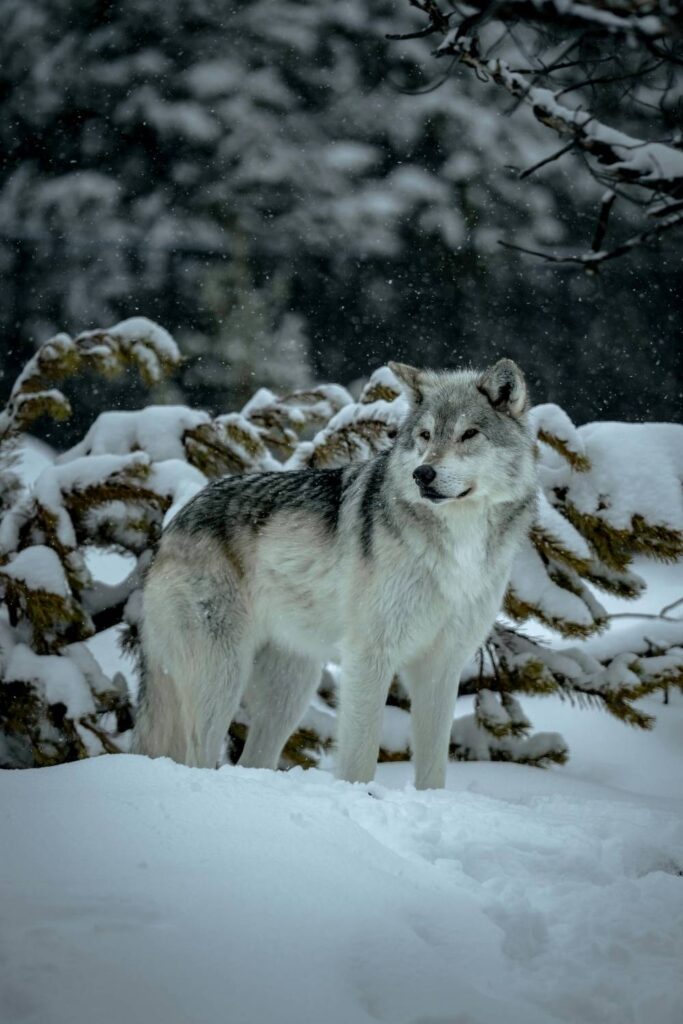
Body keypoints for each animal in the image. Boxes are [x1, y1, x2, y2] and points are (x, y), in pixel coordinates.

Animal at [132, 358, 537, 789]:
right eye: (426, 435)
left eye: (469, 434)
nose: (423, 474)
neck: (458, 545)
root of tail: (173, 524)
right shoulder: (369, 655)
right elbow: (360, 758)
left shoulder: (441, 666)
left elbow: (433, 769)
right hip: (223, 678)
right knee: (198, 758)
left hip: (290, 689)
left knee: (252, 760)